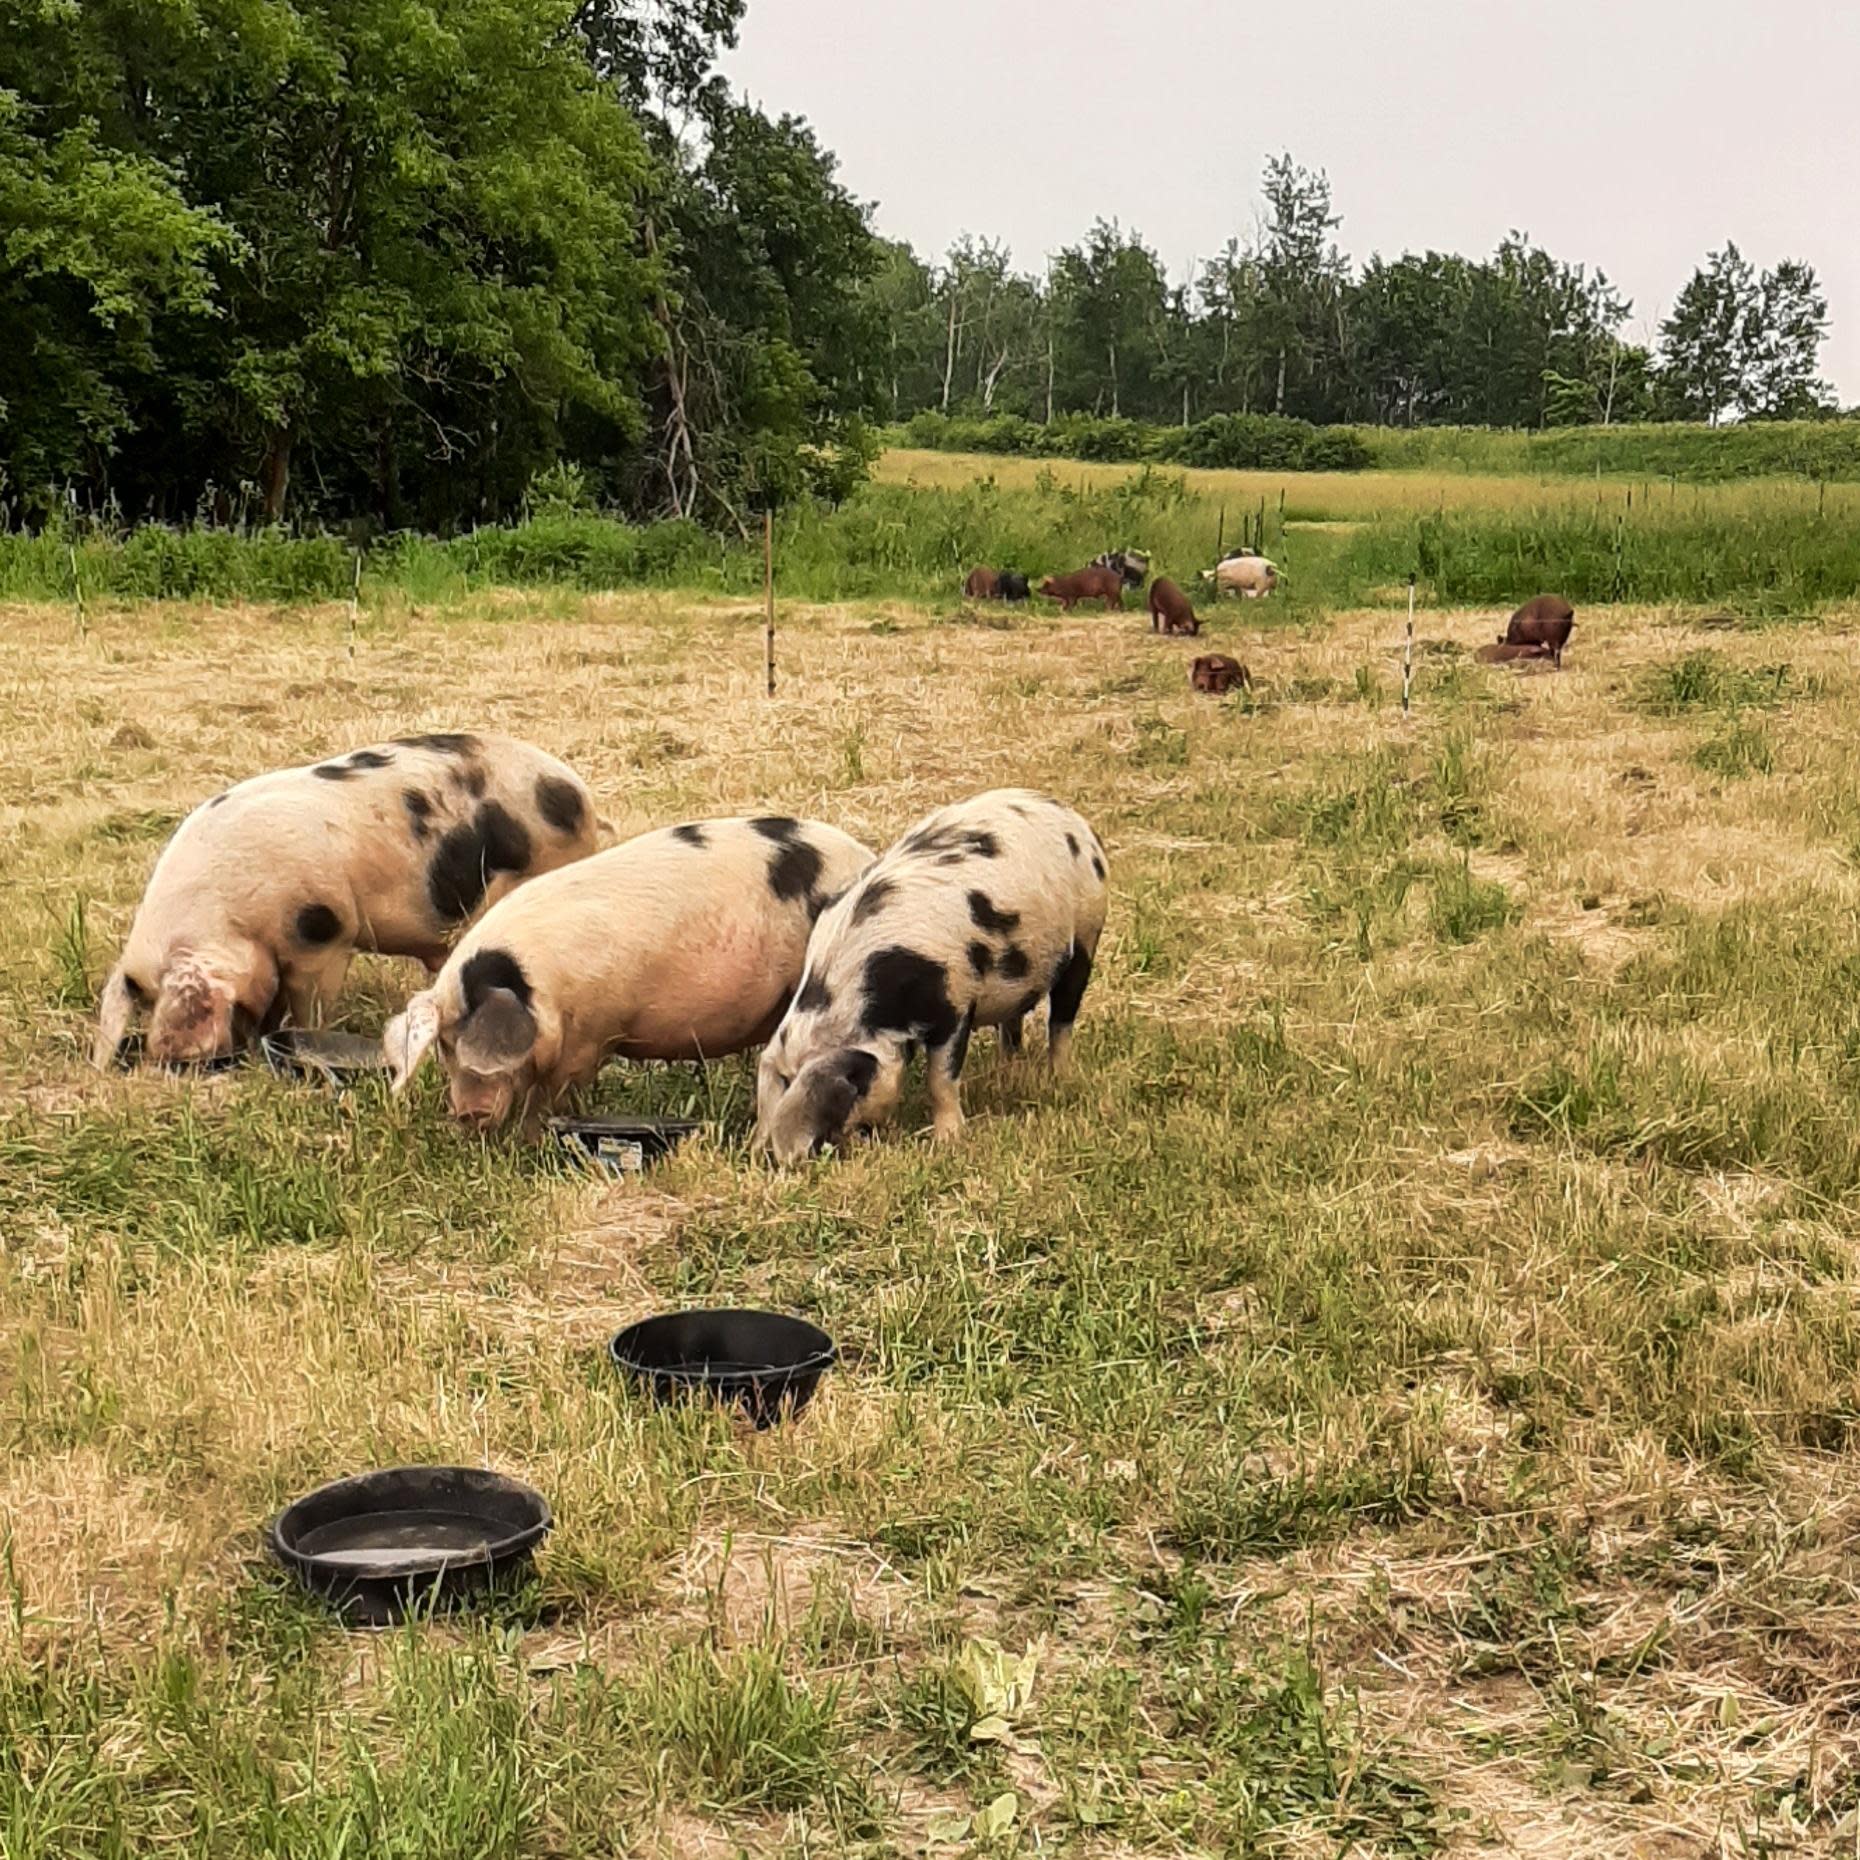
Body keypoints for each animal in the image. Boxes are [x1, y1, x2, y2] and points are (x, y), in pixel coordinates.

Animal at [751, 788, 1101, 1160]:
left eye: (856, 1083)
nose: (864, 1137)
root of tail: (1069, 816)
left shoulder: (955, 998)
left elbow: (942, 1077)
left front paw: (948, 1140)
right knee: (1013, 1021)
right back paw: (1008, 1067)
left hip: (1088, 931)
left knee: (1062, 1018)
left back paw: (1059, 1078)